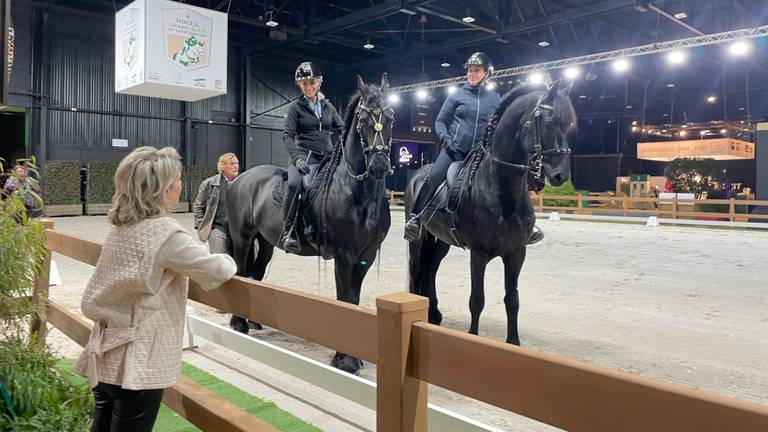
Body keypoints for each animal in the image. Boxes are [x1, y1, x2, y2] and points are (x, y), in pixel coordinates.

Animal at [222, 75, 390, 374]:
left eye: (391, 117)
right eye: (363, 120)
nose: (379, 165)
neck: (359, 191)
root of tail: (239, 179)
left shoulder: (366, 255)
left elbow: (354, 298)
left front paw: (353, 357)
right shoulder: (344, 255)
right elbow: (344, 298)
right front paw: (345, 360)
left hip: (266, 242)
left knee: (256, 273)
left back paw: (254, 322)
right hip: (242, 237)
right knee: (241, 271)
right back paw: (238, 323)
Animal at [408, 80, 576, 344]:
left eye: (568, 125)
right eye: (549, 123)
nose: (561, 175)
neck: (500, 189)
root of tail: (418, 173)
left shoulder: (517, 253)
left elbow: (512, 299)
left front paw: (513, 342)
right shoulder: (479, 253)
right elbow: (477, 300)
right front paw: (473, 337)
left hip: (440, 241)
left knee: (430, 270)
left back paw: (433, 313)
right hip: (419, 239)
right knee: (417, 271)